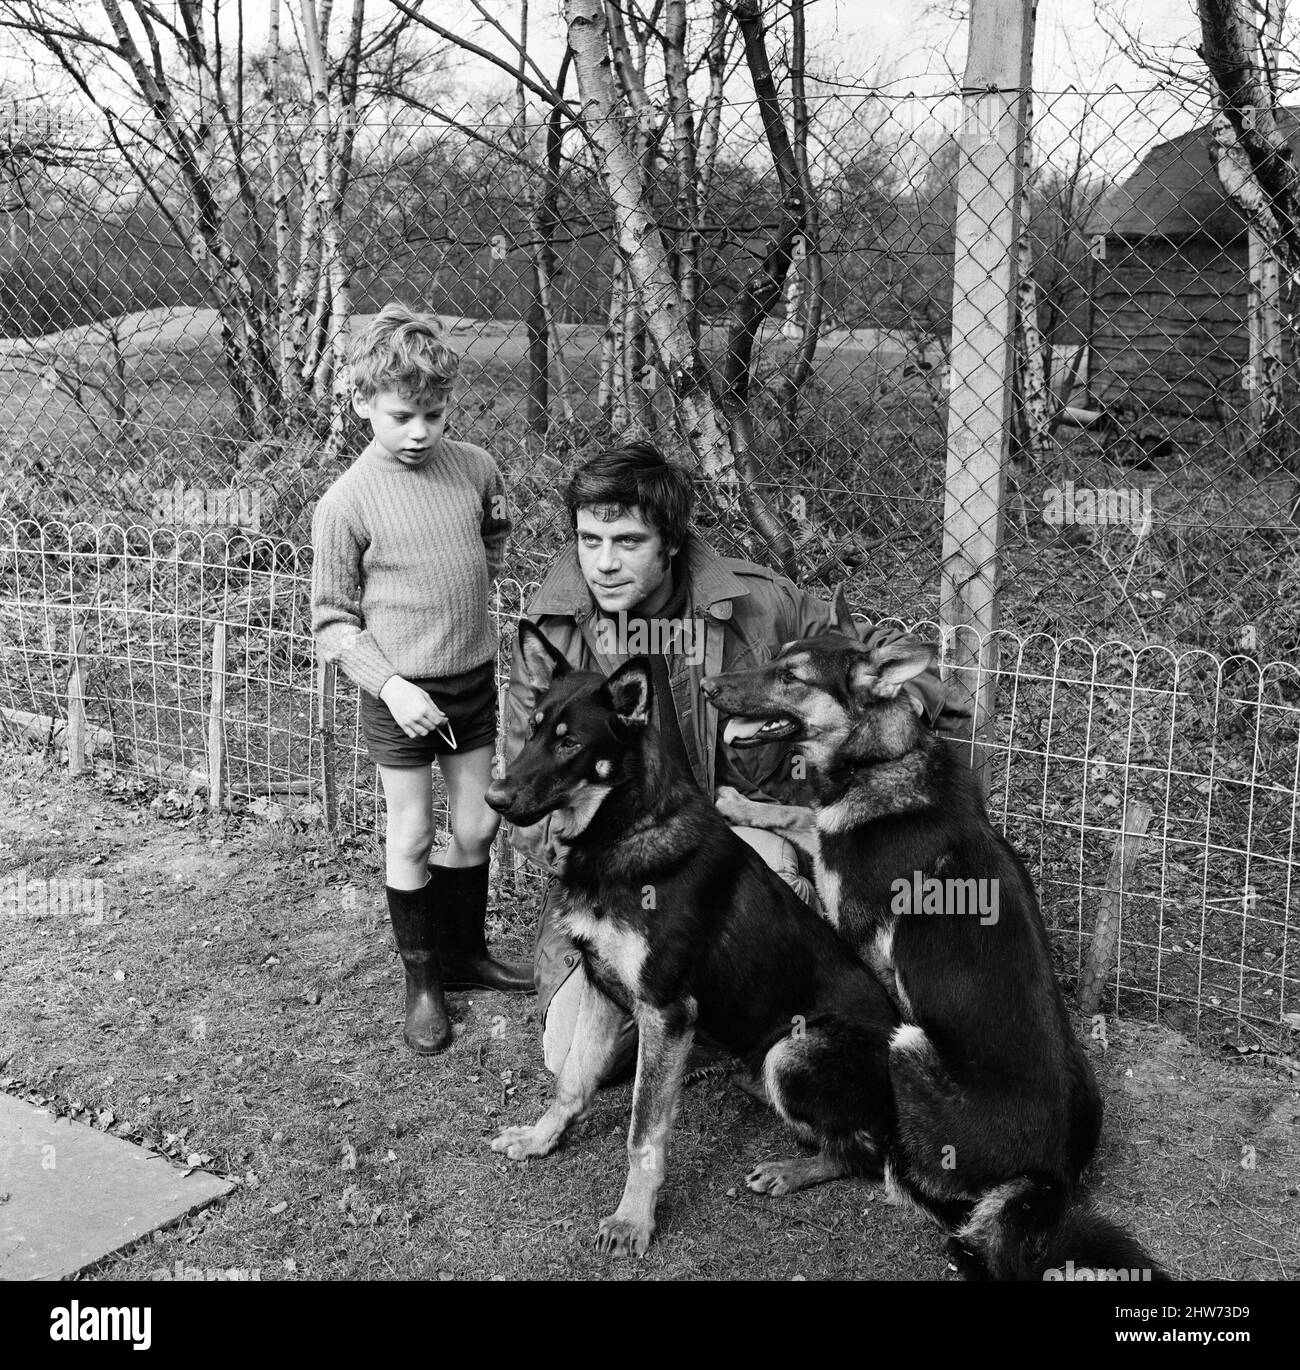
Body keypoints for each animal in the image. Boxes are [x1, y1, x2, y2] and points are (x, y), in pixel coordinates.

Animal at [482, 621, 898, 1254]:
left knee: (865, 1154)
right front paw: (539, 1139)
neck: (620, 834)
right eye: (531, 730)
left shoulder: (666, 1010)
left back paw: (789, 1170)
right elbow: (572, 1083)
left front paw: (632, 1220)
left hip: (792, 1048)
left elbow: (643, 1134)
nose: (495, 800)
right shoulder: (604, 989)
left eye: (570, 744)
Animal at [701, 594, 1167, 1276]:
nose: (707, 686)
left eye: (792, 676)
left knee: (876, 1158)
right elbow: (803, 813)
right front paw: (746, 804)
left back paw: (793, 1157)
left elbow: (809, 822)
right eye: (776, 658)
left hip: (908, 1043)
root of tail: (1049, 1180)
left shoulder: (852, 930)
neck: (886, 760)